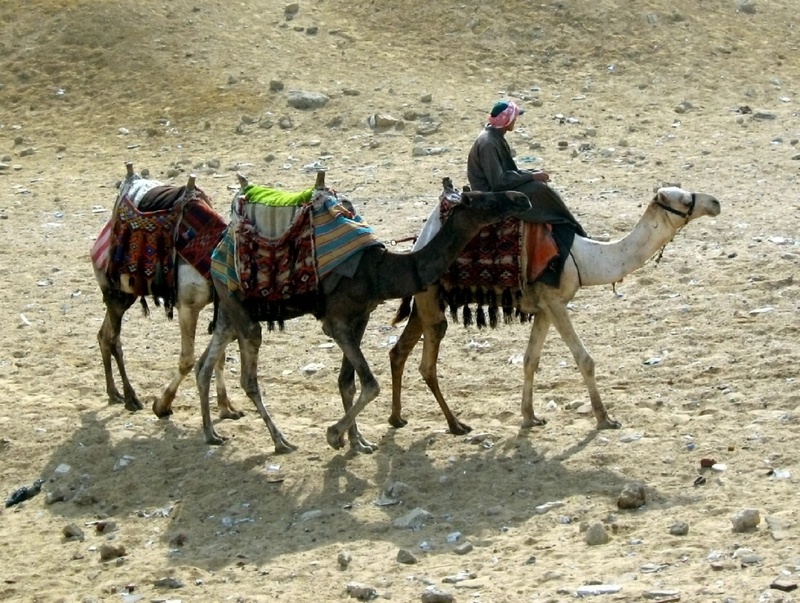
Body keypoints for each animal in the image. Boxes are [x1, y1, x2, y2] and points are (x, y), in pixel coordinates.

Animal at [94, 163, 240, 421]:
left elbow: (220, 357)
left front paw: (226, 408)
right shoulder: (188, 307)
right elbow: (187, 360)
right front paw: (162, 405)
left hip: (126, 293)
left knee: (104, 335)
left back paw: (114, 393)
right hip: (114, 292)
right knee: (113, 339)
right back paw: (131, 398)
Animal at [194, 179, 531, 453]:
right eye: (487, 202)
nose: (522, 199)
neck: (379, 272)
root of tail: (218, 250)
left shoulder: (361, 318)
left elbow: (348, 382)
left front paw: (357, 441)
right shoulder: (335, 322)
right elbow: (370, 384)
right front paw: (334, 435)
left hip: (229, 310)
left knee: (205, 364)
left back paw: (211, 434)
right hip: (239, 308)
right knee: (249, 375)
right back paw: (280, 441)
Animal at [388, 186, 721, 434]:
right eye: (685, 200)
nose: (716, 202)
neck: (585, 257)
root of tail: (418, 241)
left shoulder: (544, 309)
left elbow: (530, 360)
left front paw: (530, 417)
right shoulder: (556, 302)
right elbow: (584, 359)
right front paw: (605, 418)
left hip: (425, 302)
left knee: (399, 350)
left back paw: (397, 418)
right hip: (431, 301)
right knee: (427, 364)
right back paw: (455, 425)